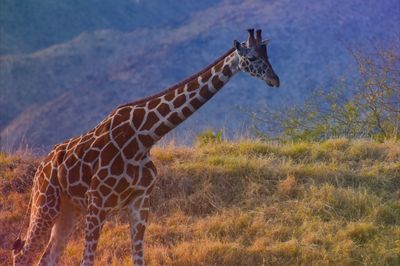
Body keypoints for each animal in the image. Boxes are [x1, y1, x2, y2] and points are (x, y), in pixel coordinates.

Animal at [12, 28, 280, 264]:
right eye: (253, 58)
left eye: (268, 55)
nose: (274, 80)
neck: (144, 138)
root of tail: (41, 167)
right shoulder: (97, 201)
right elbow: (87, 260)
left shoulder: (140, 201)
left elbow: (138, 257)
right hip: (45, 201)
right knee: (23, 253)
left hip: (68, 209)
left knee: (47, 257)